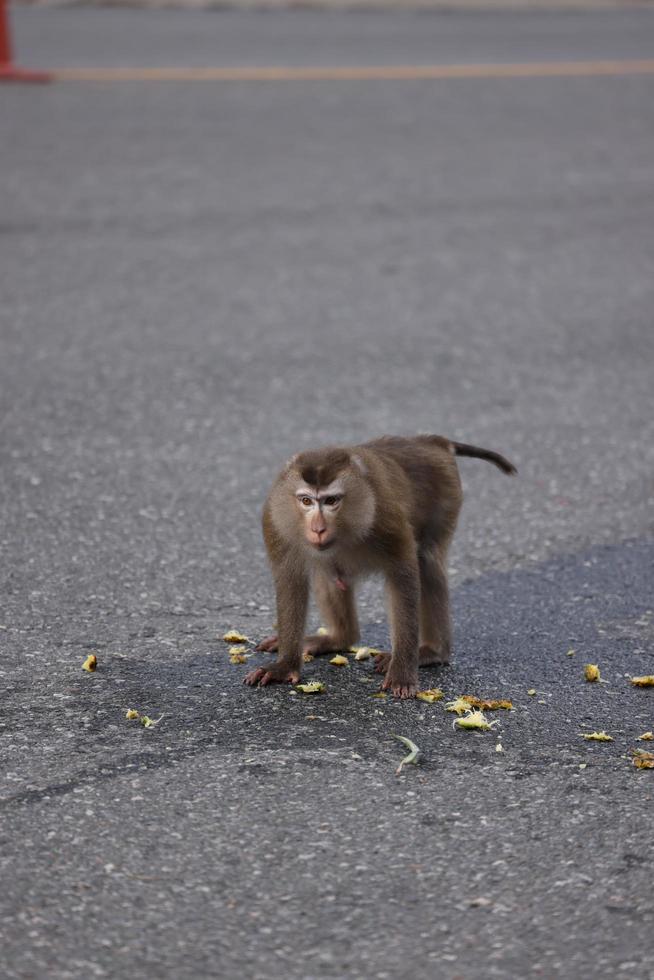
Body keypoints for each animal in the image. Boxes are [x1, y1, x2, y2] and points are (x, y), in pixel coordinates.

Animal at [246, 434, 516, 696]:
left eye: (331, 501)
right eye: (306, 501)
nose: (318, 529)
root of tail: (431, 440)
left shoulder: (384, 515)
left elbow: (403, 575)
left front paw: (402, 672)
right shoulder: (275, 521)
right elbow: (290, 582)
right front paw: (285, 666)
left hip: (446, 493)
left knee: (426, 561)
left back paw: (431, 652)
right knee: (328, 571)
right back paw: (339, 638)